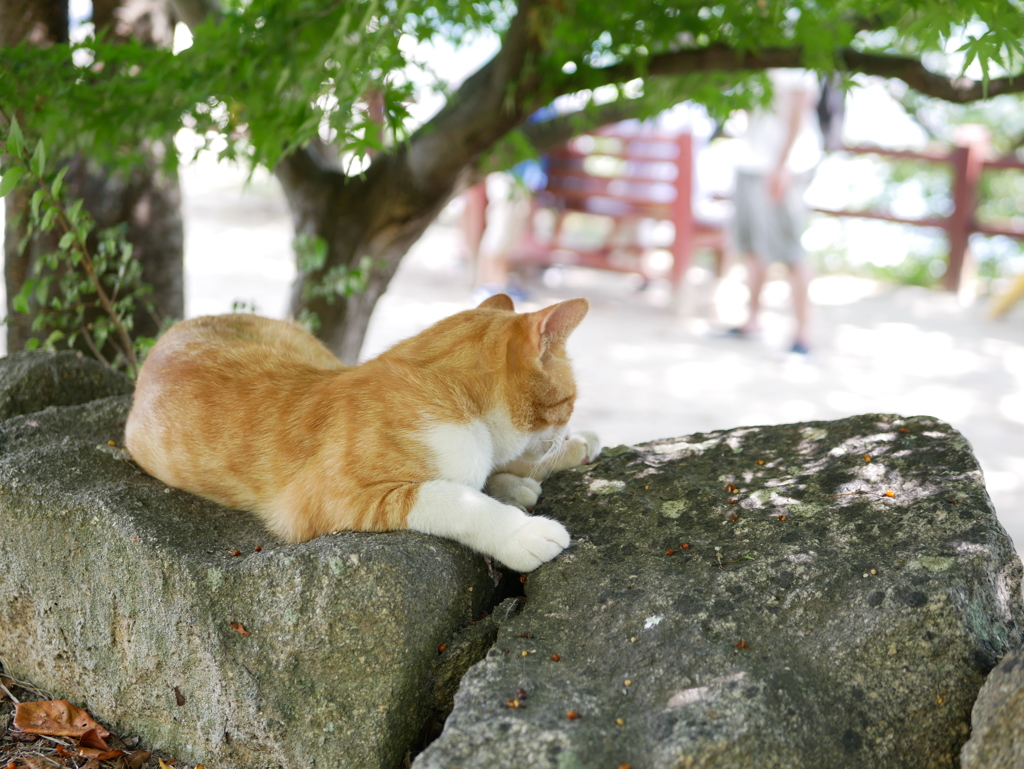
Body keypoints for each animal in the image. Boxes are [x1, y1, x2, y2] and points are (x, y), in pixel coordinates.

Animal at [122, 294, 598, 573]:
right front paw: (522, 531)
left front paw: (522, 476)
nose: (564, 431)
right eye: (571, 401)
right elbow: (454, 498)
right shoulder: (323, 502)